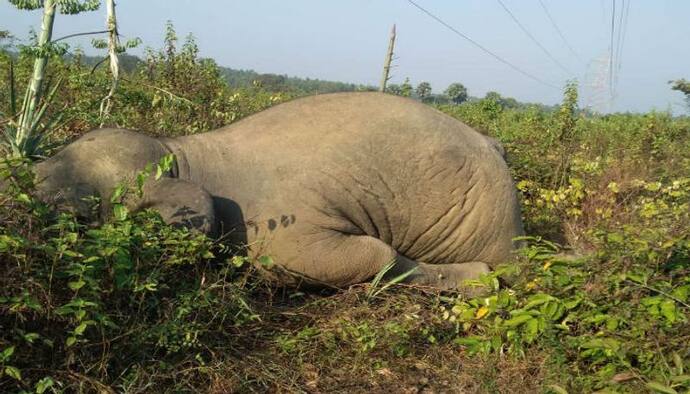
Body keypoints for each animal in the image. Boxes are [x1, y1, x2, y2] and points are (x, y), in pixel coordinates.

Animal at [25, 91, 520, 290]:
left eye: (77, 215)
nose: (25, 176)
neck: (181, 153)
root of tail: (493, 145)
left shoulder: (276, 233)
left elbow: (373, 255)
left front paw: (476, 283)